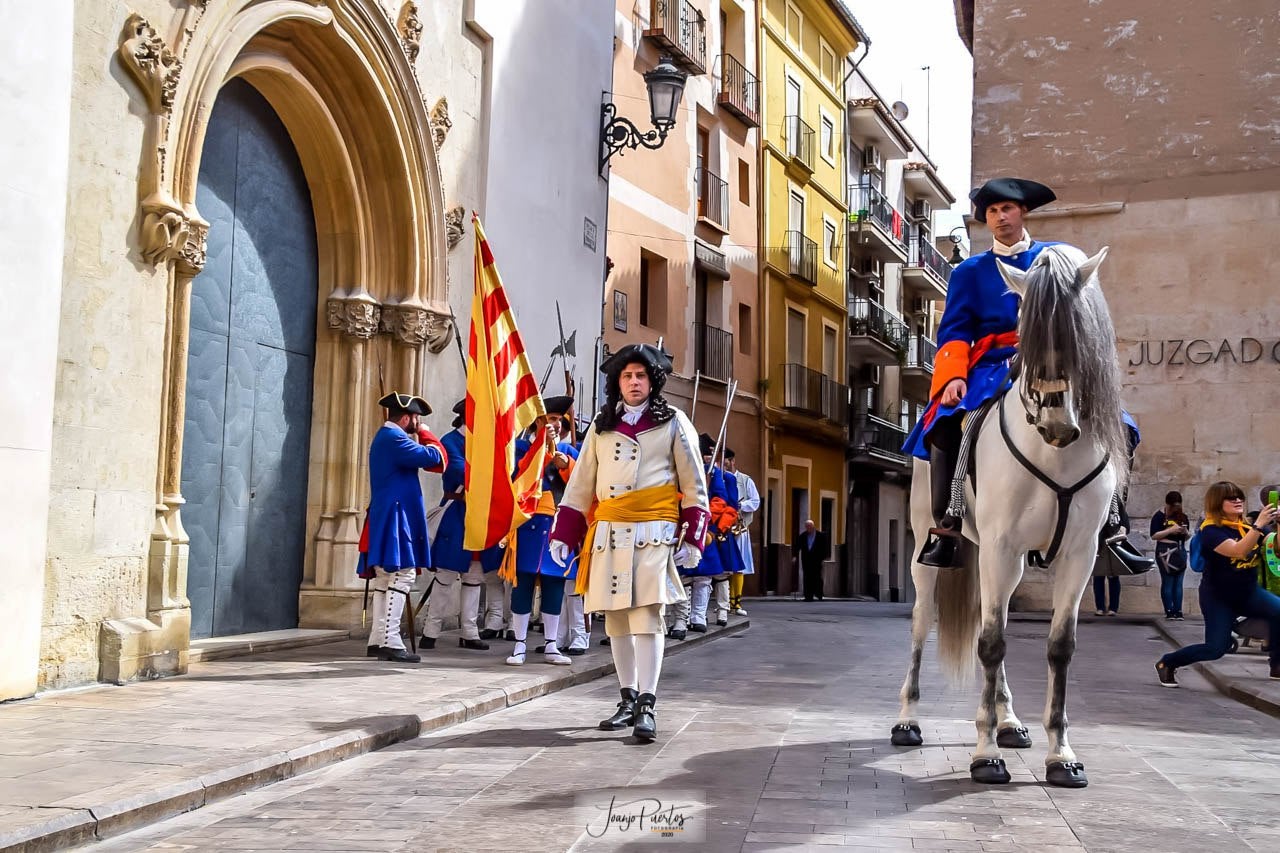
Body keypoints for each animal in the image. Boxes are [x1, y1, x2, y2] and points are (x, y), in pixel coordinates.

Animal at [890, 242, 1131, 788]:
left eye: (1077, 334)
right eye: (1029, 332)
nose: (1058, 423)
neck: (1055, 455)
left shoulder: (1078, 556)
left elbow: (1058, 647)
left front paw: (1060, 754)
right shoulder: (998, 548)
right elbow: (991, 643)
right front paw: (985, 755)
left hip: (1010, 561)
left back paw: (1009, 722)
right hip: (930, 549)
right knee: (921, 622)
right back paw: (909, 721)